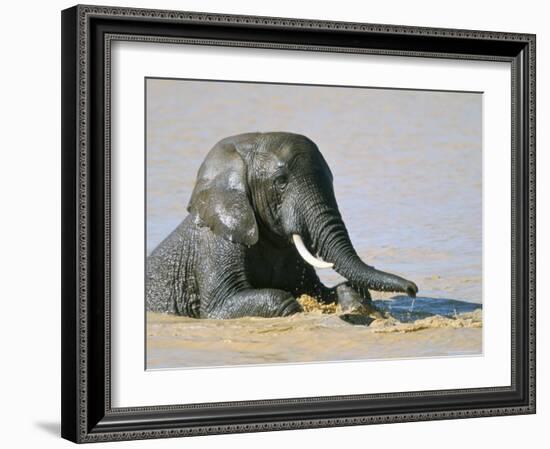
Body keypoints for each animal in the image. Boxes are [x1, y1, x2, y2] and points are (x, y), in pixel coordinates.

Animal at [147, 131, 418, 316]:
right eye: (280, 182)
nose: (414, 289)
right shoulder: (215, 245)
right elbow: (221, 304)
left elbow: (317, 289)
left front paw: (350, 296)